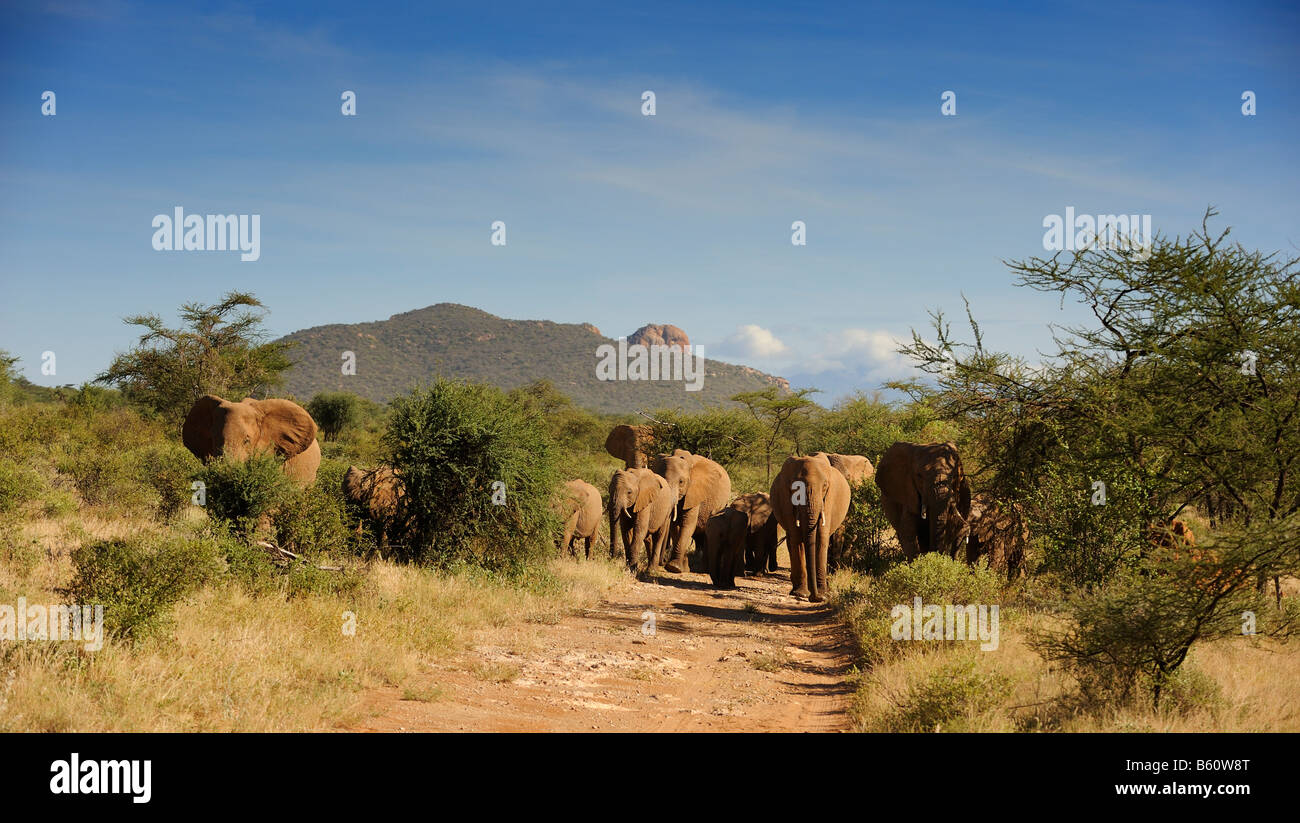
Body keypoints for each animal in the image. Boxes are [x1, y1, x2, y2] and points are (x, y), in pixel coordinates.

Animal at [769, 452, 852, 600]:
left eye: (824, 486)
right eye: (794, 488)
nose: (815, 597)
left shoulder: (828, 499)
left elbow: (821, 538)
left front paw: (822, 594)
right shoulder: (785, 498)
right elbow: (797, 538)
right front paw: (801, 593)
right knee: (792, 539)